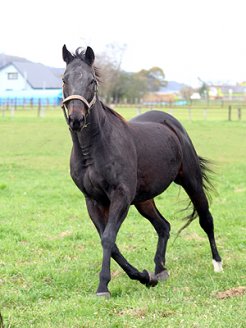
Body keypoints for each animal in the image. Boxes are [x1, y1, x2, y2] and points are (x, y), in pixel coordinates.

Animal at [61, 45, 223, 298]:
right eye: (64, 79)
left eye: (92, 81)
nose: (76, 119)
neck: (94, 149)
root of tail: (171, 123)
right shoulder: (93, 201)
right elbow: (110, 243)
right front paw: (144, 277)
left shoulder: (121, 196)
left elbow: (108, 238)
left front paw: (103, 287)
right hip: (144, 199)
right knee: (163, 226)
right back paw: (160, 270)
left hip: (191, 181)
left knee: (206, 218)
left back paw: (217, 264)